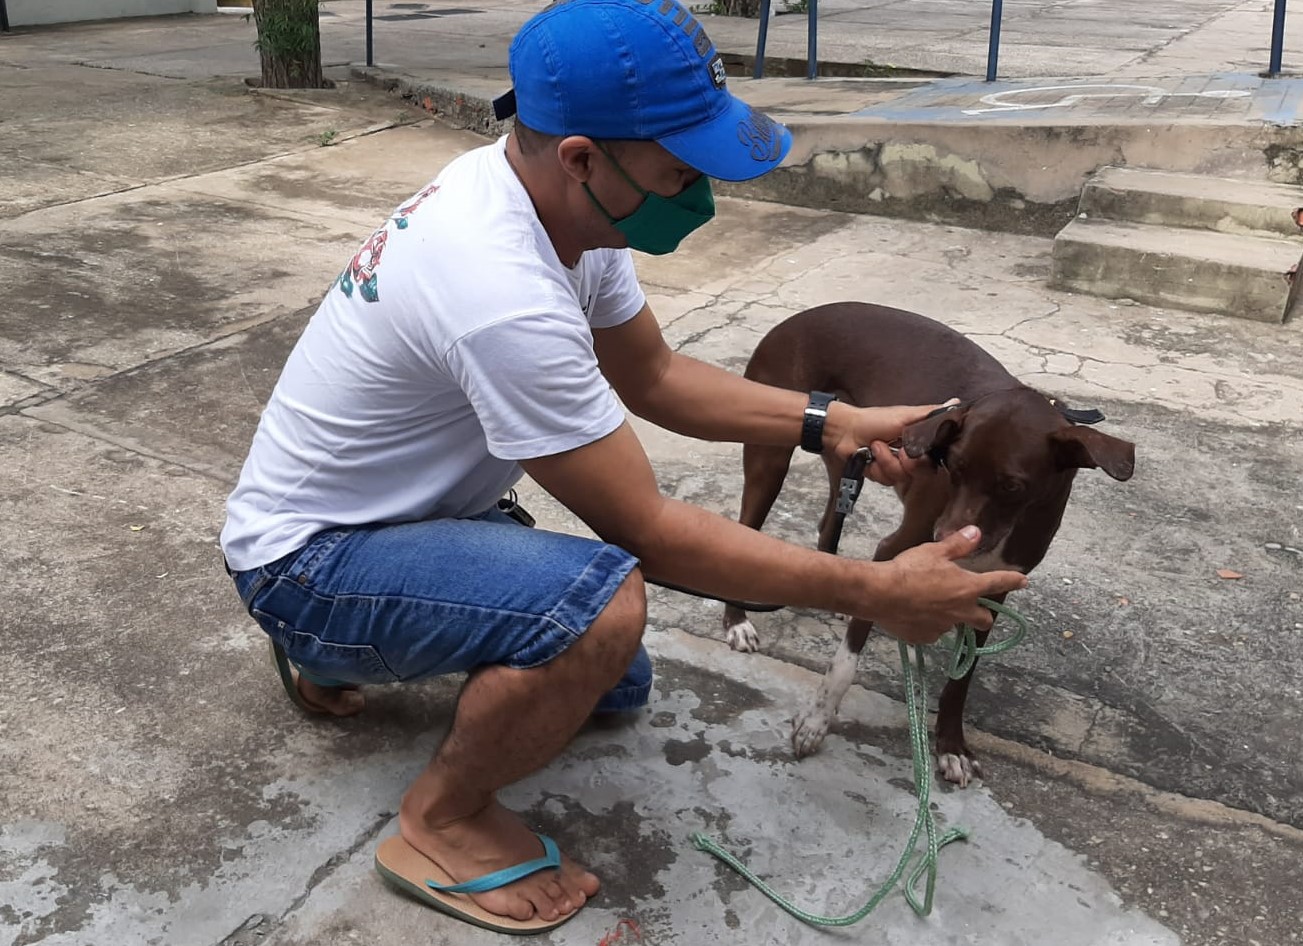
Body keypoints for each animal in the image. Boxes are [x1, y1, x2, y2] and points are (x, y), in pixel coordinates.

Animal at [724, 302, 1131, 787]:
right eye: (952, 465)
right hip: (769, 456)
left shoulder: (994, 588)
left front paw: (951, 747)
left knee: (828, 519)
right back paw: (737, 622)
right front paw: (816, 722)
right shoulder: (895, 552)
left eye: (1013, 486)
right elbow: (845, 662)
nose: (944, 538)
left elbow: (961, 681)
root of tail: (797, 318)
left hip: (846, 458)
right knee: (746, 524)